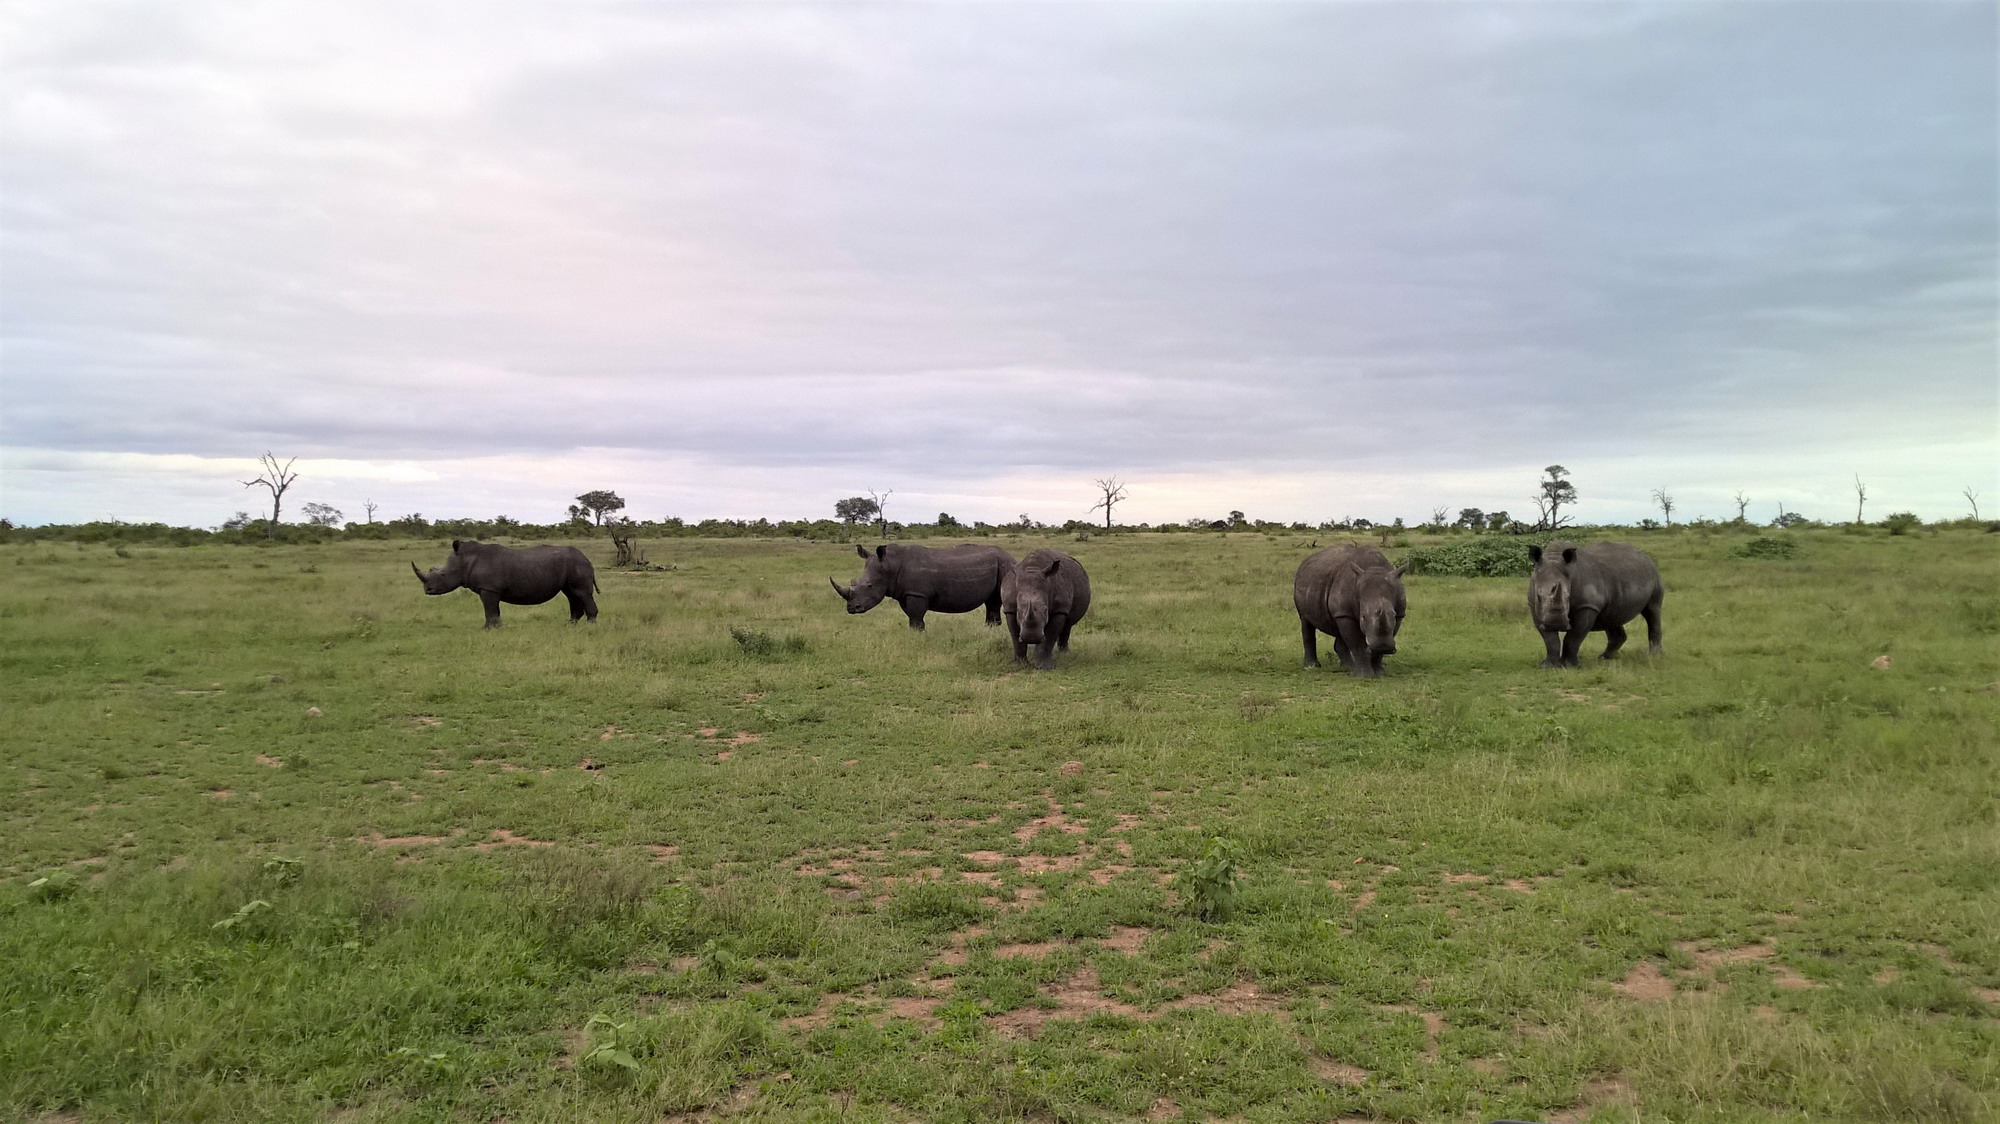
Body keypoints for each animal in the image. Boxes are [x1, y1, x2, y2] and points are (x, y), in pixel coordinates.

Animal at [406, 540, 592, 624]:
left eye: (443, 574)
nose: (427, 590)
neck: (466, 560)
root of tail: (586, 557)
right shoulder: (490, 589)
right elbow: (494, 610)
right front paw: (495, 628)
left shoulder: (489, 588)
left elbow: (489, 609)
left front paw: (488, 629)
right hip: (572, 566)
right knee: (572, 594)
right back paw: (570, 625)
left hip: (577, 564)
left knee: (582, 593)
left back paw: (590, 626)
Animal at [832, 540, 1016, 624]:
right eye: (853, 581)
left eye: (870, 586)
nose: (851, 609)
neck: (890, 565)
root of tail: (1012, 557)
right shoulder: (906, 593)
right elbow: (912, 618)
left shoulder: (917, 594)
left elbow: (916, 618)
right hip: (1000, 564)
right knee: (991, 602)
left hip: (1005, 564)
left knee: (995, 600)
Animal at [1296, 540, 1408, 672]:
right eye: (1363, 617)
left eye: (1393, 616)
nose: (1383, 646)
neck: (1375, 569)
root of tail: (1305, 561)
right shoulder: (1345, 614)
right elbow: (1357, 644)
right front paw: (1364, 674)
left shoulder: (1400, 612)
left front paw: (1379, 671)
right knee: (1306, 622)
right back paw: (1312, 666)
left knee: (1338, 629)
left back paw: (1348, 666)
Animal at [1520, 540, 1664, 664]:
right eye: (1538, 596)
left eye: (1568, 596)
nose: (1555, 624)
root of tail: (1646, 557)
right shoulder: (1533, 605)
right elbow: (1550, 640)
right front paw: (1548, 665)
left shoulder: (1586, 606)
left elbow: (1574, 636)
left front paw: (1568, 665)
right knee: (1612, 616)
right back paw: (1604, 658)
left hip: (1655, 575)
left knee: (1653, 611)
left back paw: (1654, 656)